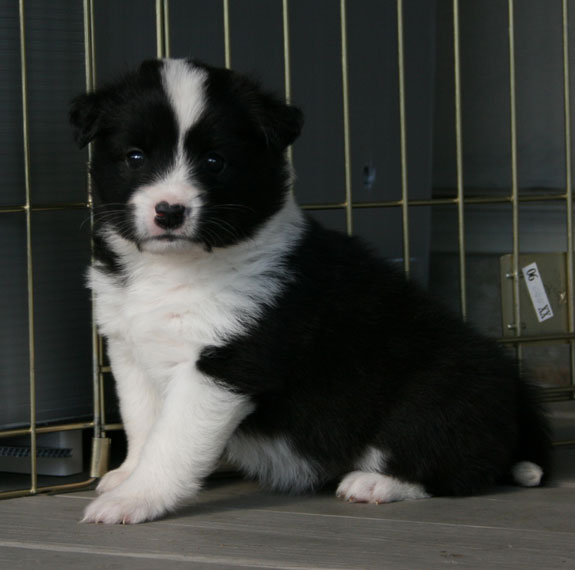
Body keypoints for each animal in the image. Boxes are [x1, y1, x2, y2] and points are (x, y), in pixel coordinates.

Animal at [70, 58, 552, 524]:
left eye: (214, 162)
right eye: (134, 157)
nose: (169, 211)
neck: (173, 268)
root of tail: (518, 399)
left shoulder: (224, 365)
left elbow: (172, 441)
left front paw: (134, 499)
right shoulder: (129, 349)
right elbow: (143, 422)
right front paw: (127, 476)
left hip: (437, 392)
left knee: (457, 464)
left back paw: (375, 483)